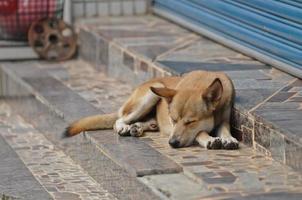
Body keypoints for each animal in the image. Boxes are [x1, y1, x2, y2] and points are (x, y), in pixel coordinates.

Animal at [63, 69, 238, 149]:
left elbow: (224, 129)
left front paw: (228, 138)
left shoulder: (224, 119)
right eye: (173, 120)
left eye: (191, 122)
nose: (172, 143)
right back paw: (125, 128)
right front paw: (210, 139)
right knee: (119, 120)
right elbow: (200, 132)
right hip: (151, 94)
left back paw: (138, 127)